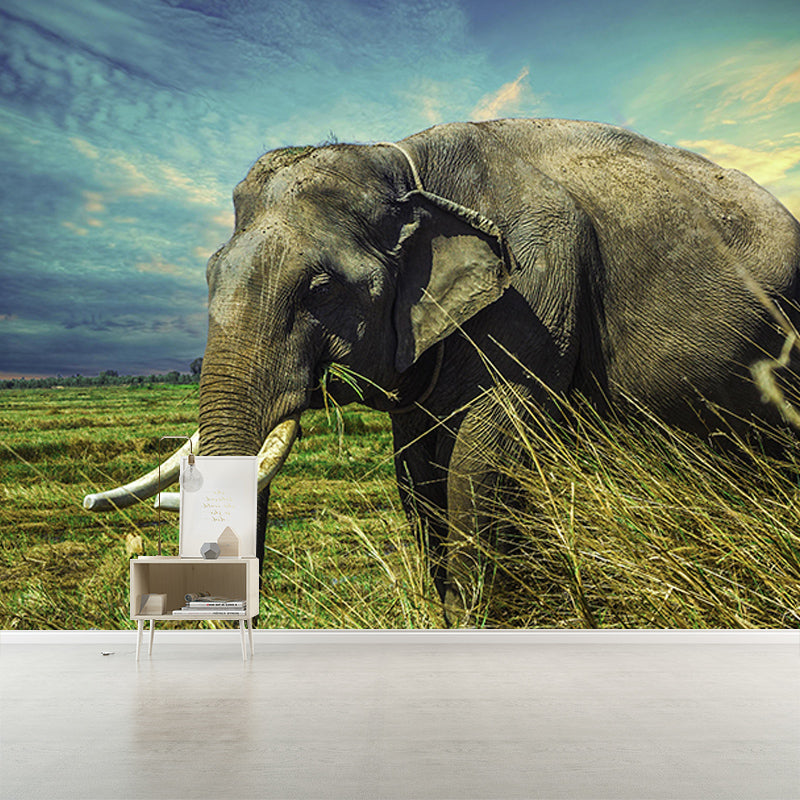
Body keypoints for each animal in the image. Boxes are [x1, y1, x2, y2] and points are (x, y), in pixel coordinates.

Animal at [85, 118, 800, 624]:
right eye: (209, 276)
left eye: (320, 289)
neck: (405, 163)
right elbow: (417, 469)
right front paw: (445, 613)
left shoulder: (536, 286)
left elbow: (480, 457)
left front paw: (478, 617)